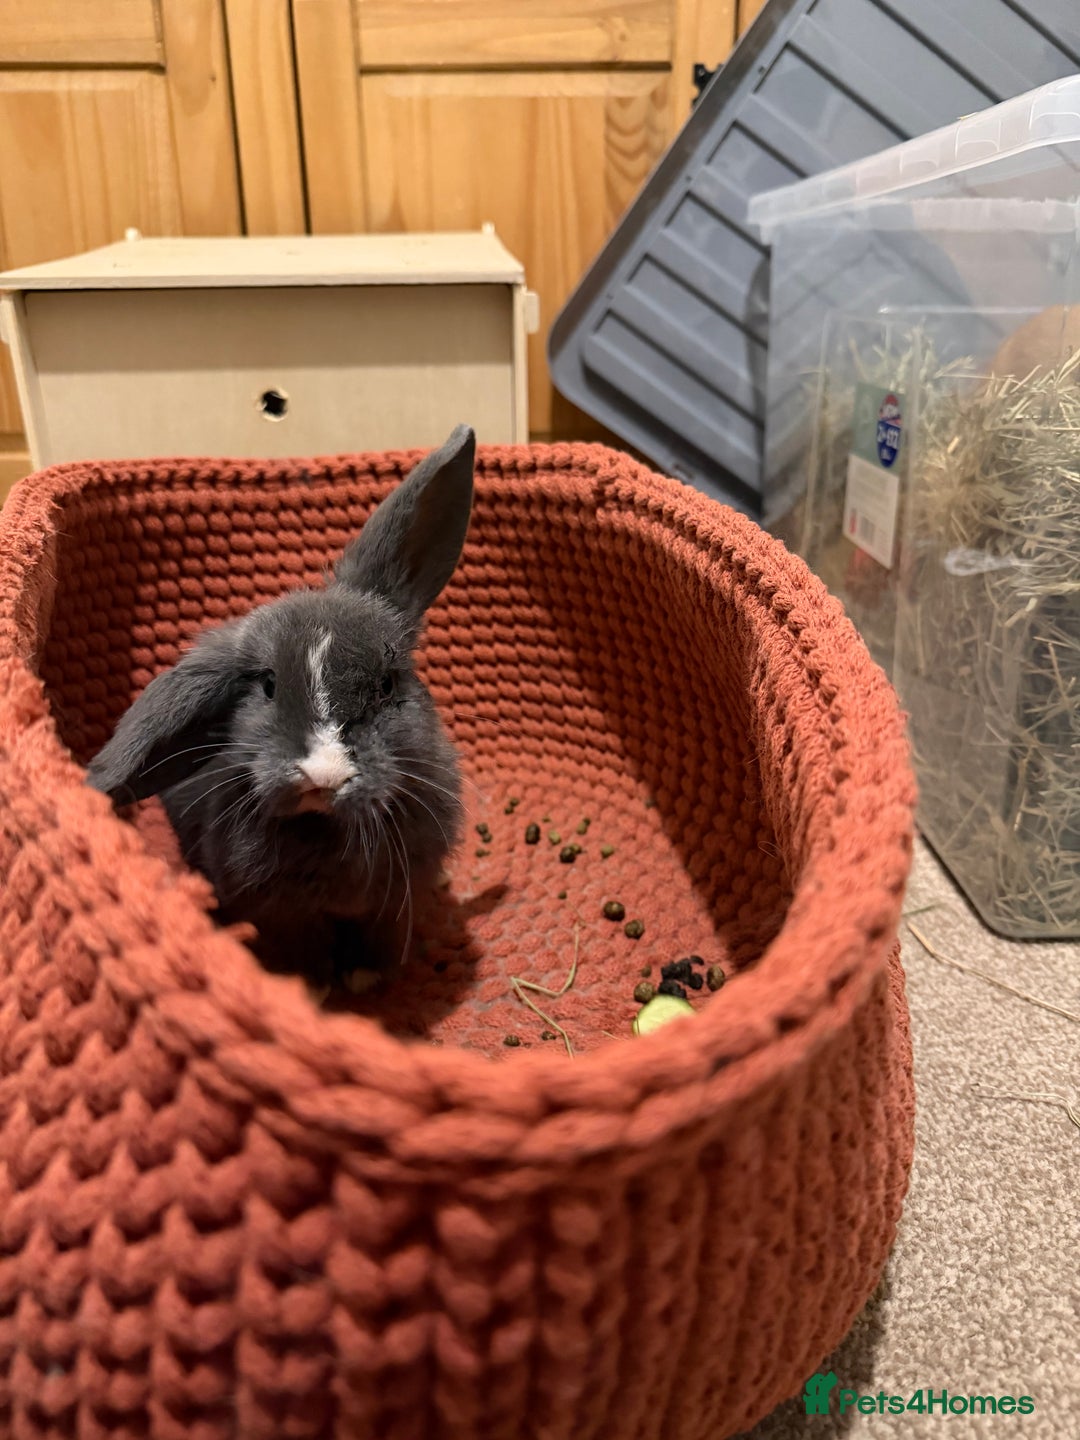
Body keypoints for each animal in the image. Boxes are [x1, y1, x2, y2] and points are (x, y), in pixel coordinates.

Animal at [87, 424, 476, 985]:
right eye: (268, 685)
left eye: (386, 684)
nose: (323, 775)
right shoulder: (282, 915)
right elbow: (303, 953)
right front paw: (315, 989)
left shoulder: (393, 902)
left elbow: (379, 941)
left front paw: (368, 979)